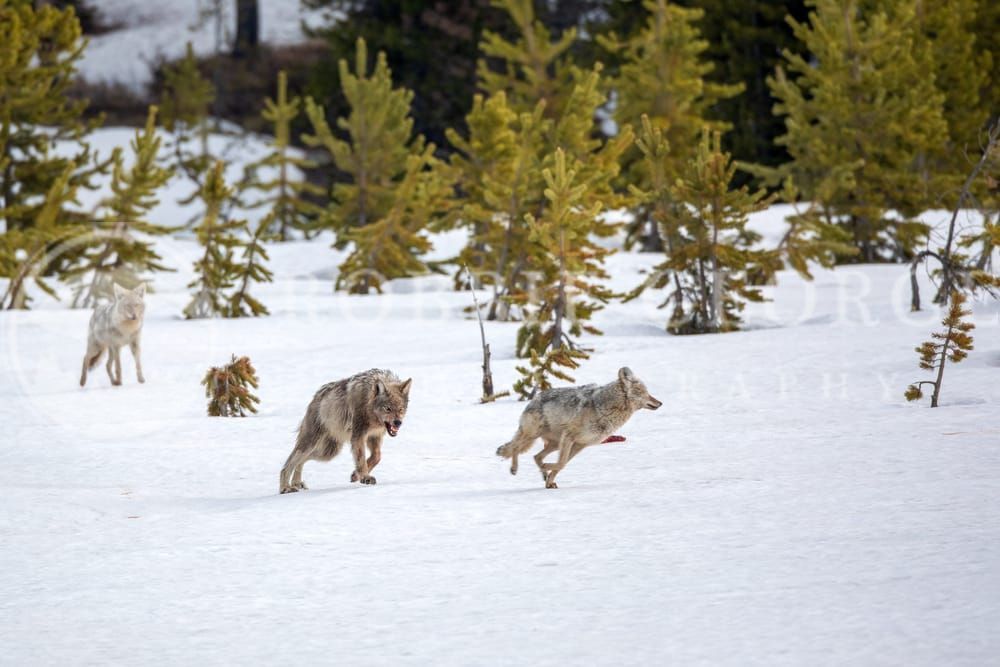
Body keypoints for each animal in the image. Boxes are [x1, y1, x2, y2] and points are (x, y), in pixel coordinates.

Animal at [279, 369, 412, 494]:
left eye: (401, 409)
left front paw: (356, 475)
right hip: (313, 445)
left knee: (301, 461)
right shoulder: (358, 436)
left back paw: (296, 483)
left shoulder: (374, 436)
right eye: (388, 408)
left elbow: (376, 456)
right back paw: (285, 488)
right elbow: (361, 459)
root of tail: (315, 396)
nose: (398, 423)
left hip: (329, 452)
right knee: (288, 464)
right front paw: (365, 477)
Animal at [496, 367, 661, 488]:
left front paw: (549, 479)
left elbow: (561, 465)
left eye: (648, 393)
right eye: (643, 393)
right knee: (516, 448)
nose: (660, 403)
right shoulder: (570, 437)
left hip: (554, 444)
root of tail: (533, 400)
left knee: (535, 456)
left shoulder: (580, 445)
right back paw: (515, 469)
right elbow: (561, 463)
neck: (604, 408)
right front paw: (546, 469)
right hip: (533, 436)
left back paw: (543, 473)